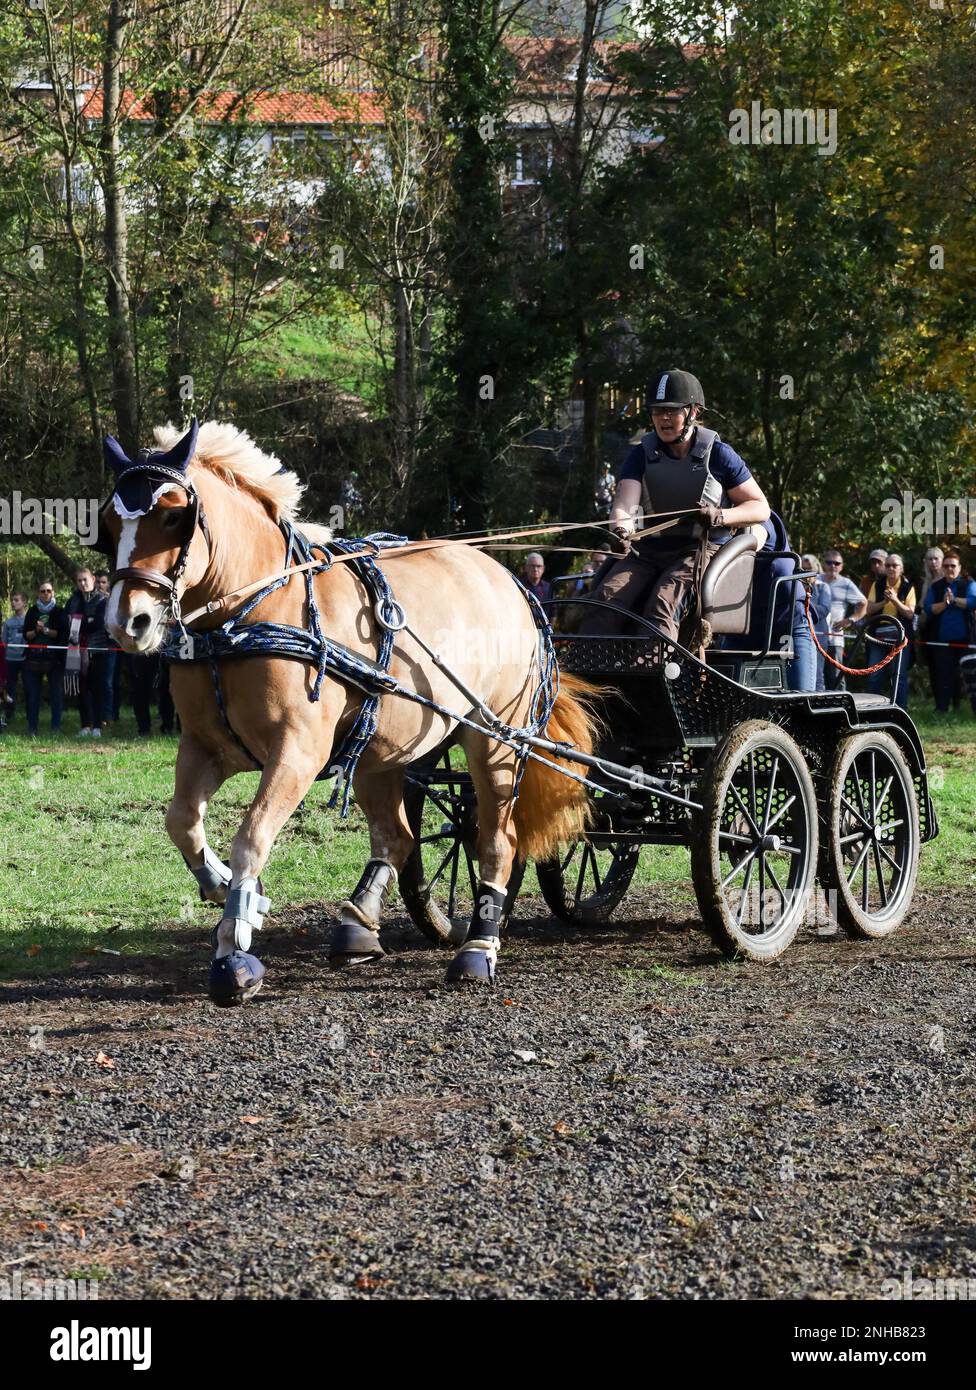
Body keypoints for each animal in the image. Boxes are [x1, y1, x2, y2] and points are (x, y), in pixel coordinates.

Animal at [99, 418, 597, 1004]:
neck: (248, 615)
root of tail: (512, 581)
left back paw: (478, 947)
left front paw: (234, 950)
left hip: (495, 740)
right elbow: (182, 822)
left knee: (498, 839)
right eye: (109, 522)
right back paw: (358, 925)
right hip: (382, 747)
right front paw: (224, 887)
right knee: (398, 836)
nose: (127, 622)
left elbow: (251, 838)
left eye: (175, 516)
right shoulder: (204, 746)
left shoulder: (297, 752)